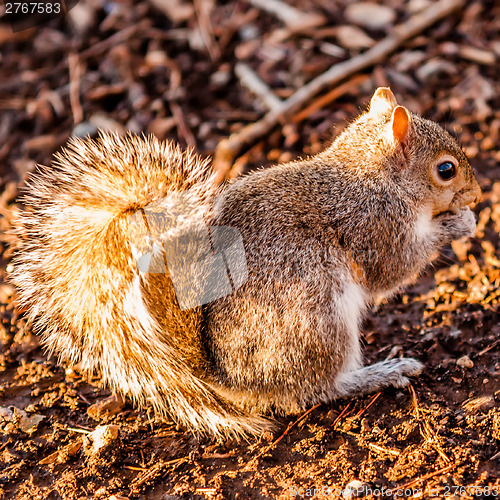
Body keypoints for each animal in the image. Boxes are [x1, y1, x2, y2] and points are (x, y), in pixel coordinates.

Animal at [10, 89, 480, 438]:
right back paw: (380, 373)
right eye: (446, 170)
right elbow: (394, 268)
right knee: (321, 387)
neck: (372, 175)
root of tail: (226, 378)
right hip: (317, 317)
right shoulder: (375, 224)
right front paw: (459, 223)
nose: (476, 194)